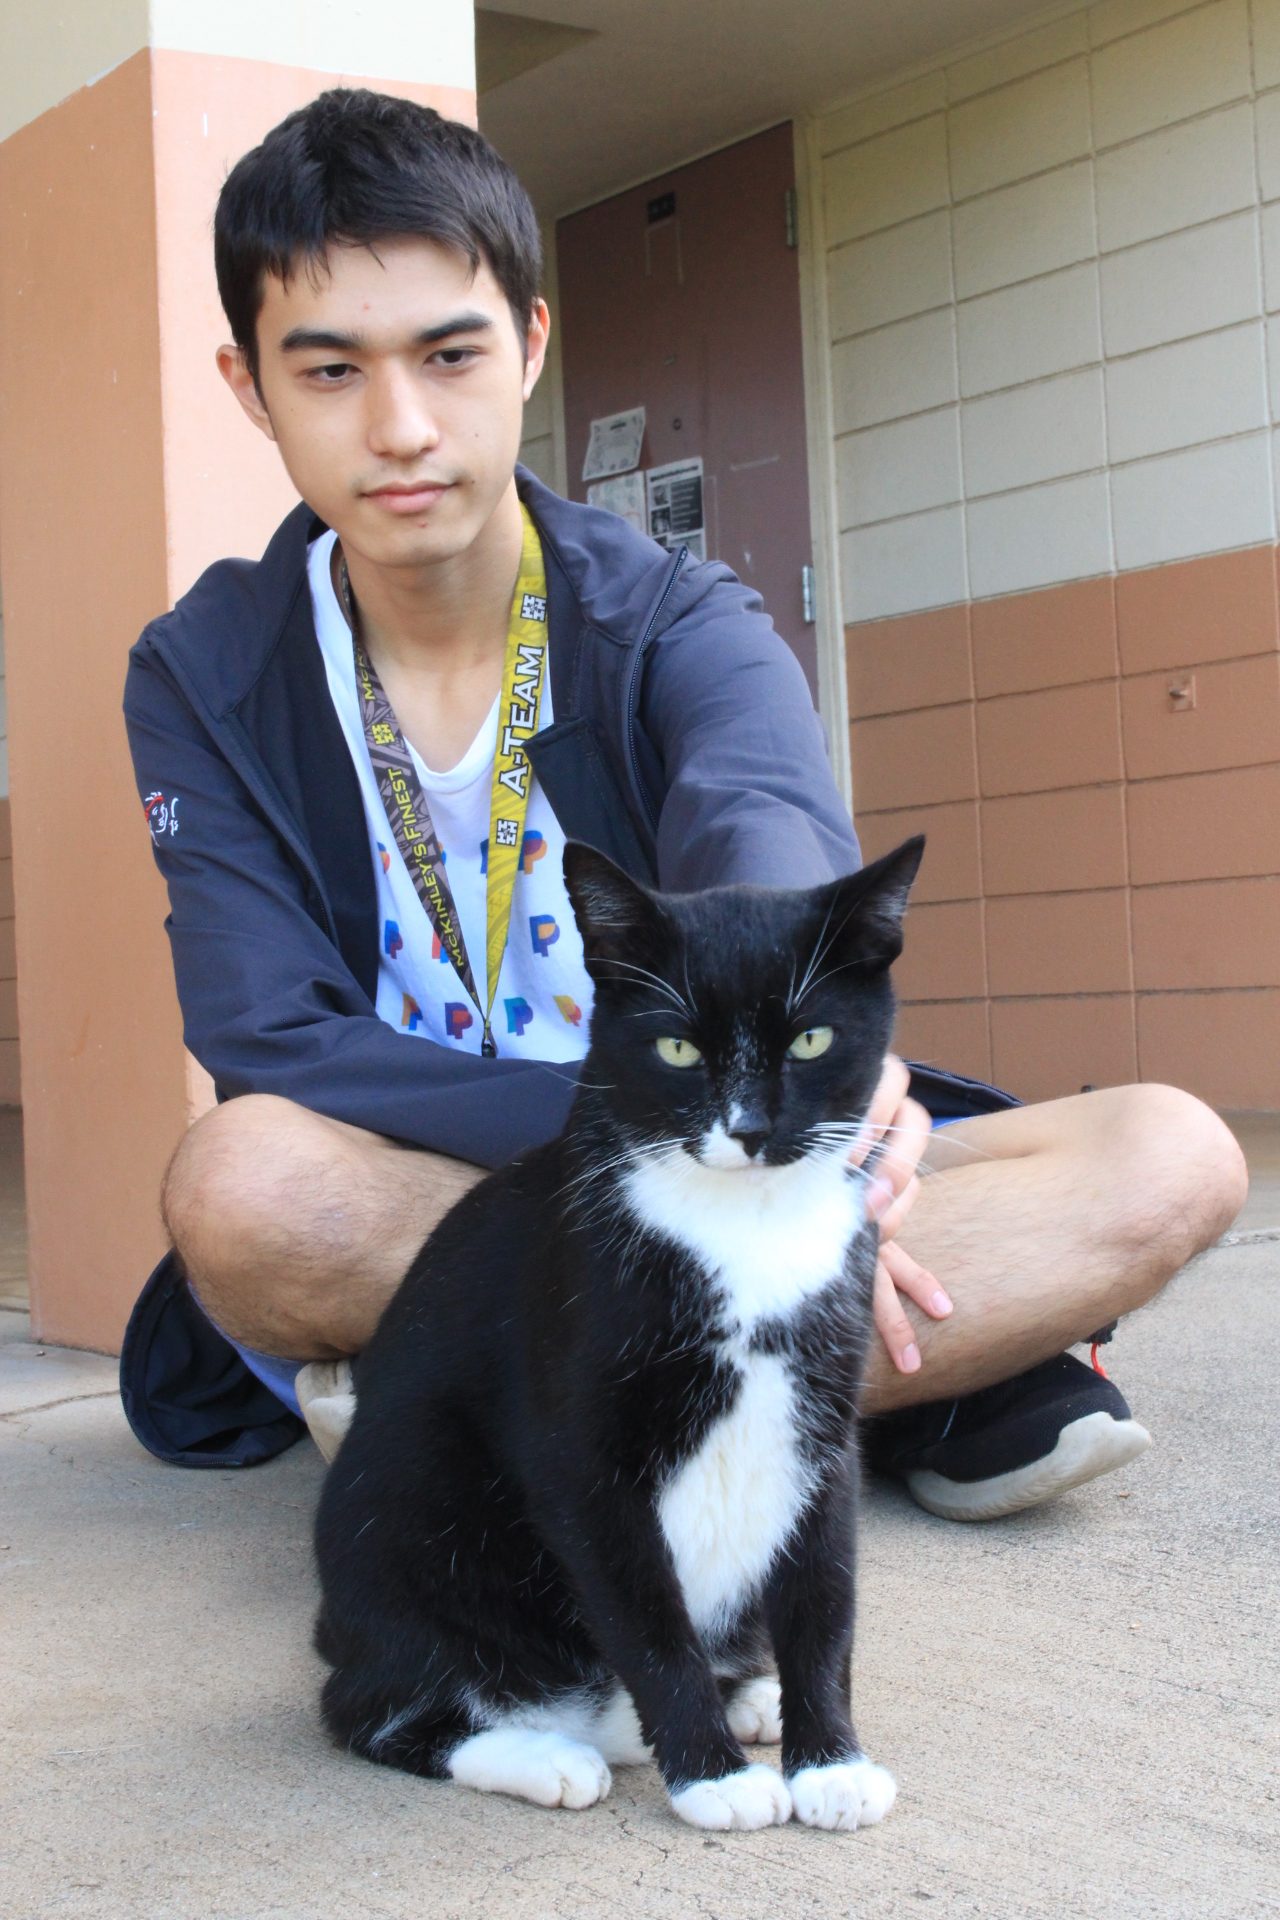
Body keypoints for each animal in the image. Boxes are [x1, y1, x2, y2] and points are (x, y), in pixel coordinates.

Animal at [314, 837, 924, 1827]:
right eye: (676, 1047)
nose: (750, 1129)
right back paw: (550, 1754)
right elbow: (647, 1620)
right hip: (407, 1508)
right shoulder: (581, 1451)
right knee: (369, 1708)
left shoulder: (826, 1424)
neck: (746, 1230)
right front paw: (711, 1776)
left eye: (811, 1039)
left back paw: (747, 1696)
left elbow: (825, 1600)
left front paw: (830, 1759)